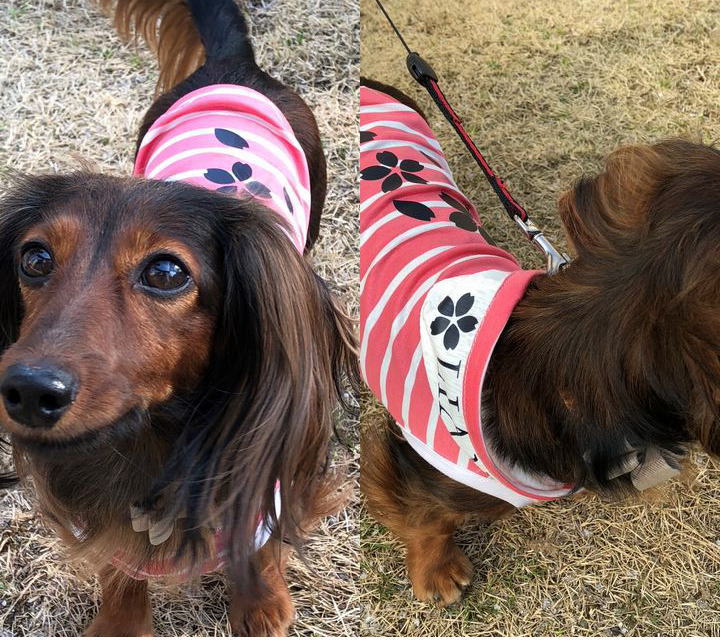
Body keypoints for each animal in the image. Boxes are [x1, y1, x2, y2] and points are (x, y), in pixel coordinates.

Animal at [0, 1, 357, 635]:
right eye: (34, 258)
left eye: (166, 273)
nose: (29, 391)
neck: (155, 437)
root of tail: (234, 66)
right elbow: (121, 563)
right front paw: (120, 620)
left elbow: (259, 539)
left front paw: (260, 602)